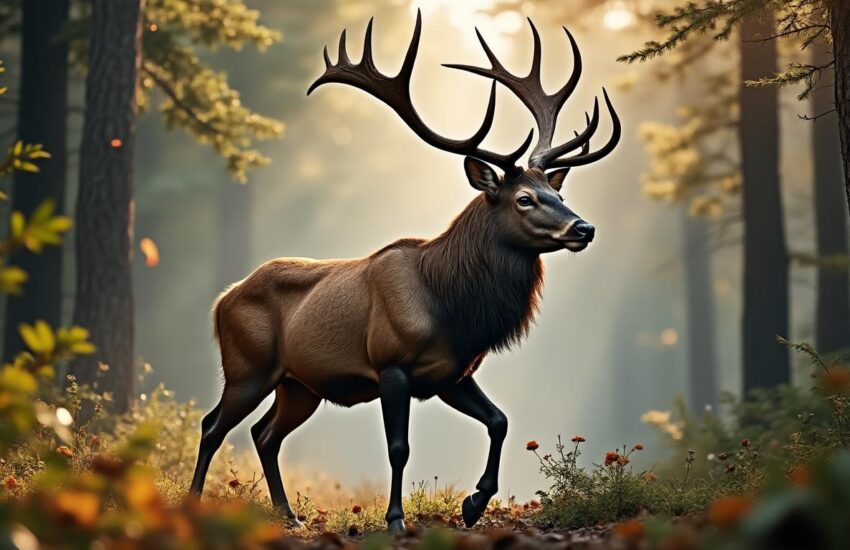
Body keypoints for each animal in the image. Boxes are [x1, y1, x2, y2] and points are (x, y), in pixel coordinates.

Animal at [188, 11, 620, 533]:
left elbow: (499, 420)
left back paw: (289, 516)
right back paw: (192, 503)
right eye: (524, 199)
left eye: (558, 193)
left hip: (299, 384)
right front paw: (396, 520)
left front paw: (474, 505)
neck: (452, 307)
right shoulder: (391, 365)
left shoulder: (453, 373)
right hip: (247, 366)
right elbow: (399, 448)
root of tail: (222, 300)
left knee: (264, 433)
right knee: (213, 425)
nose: (584, 227)